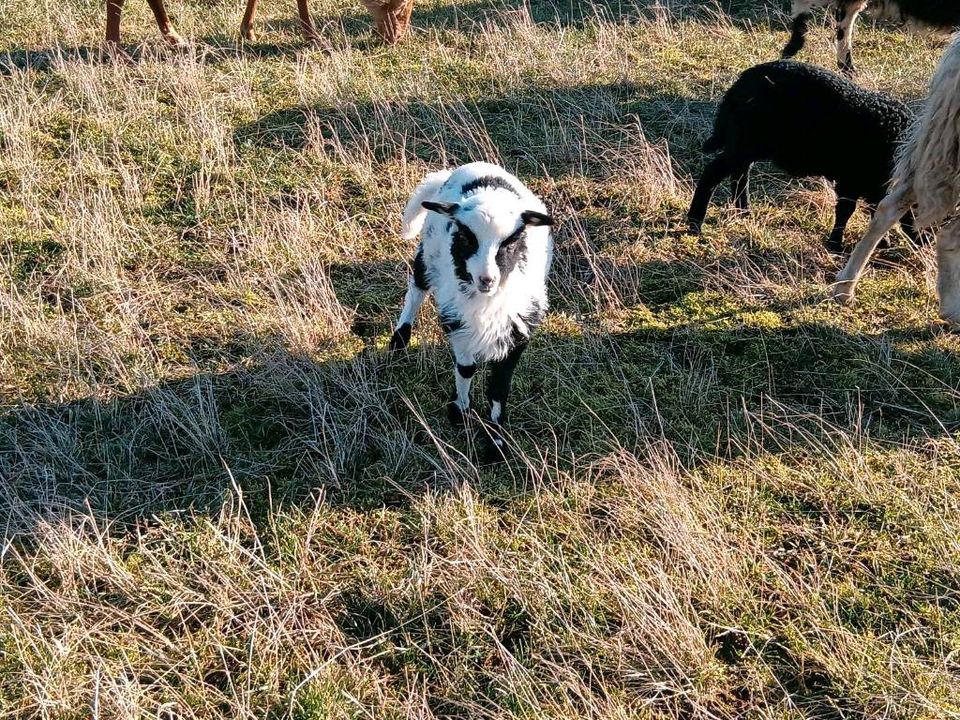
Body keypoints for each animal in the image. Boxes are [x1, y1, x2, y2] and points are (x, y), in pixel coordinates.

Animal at [388, 162, 556, 462]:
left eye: (510, 242)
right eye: (466, 237)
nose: (486, 279)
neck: (486, 304)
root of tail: (472, 167)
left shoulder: (517, 334)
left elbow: (499, 387)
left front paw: (496, 444)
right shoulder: (456, 323)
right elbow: (466, 368)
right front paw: (461, 411)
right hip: (428, 252)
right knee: (417, 287)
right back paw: (400, 338)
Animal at [688, 60, 920, 255]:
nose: (924, 242)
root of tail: (738, 85)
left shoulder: (872, 184)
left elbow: (875, 210)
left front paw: (882, 243)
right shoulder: (850, 179)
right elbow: (846, 210)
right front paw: (835, 245)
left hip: (748, 144)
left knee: (740, 173)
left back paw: (744, 212)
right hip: (746, 140)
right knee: (714, 172)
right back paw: (695, 224)